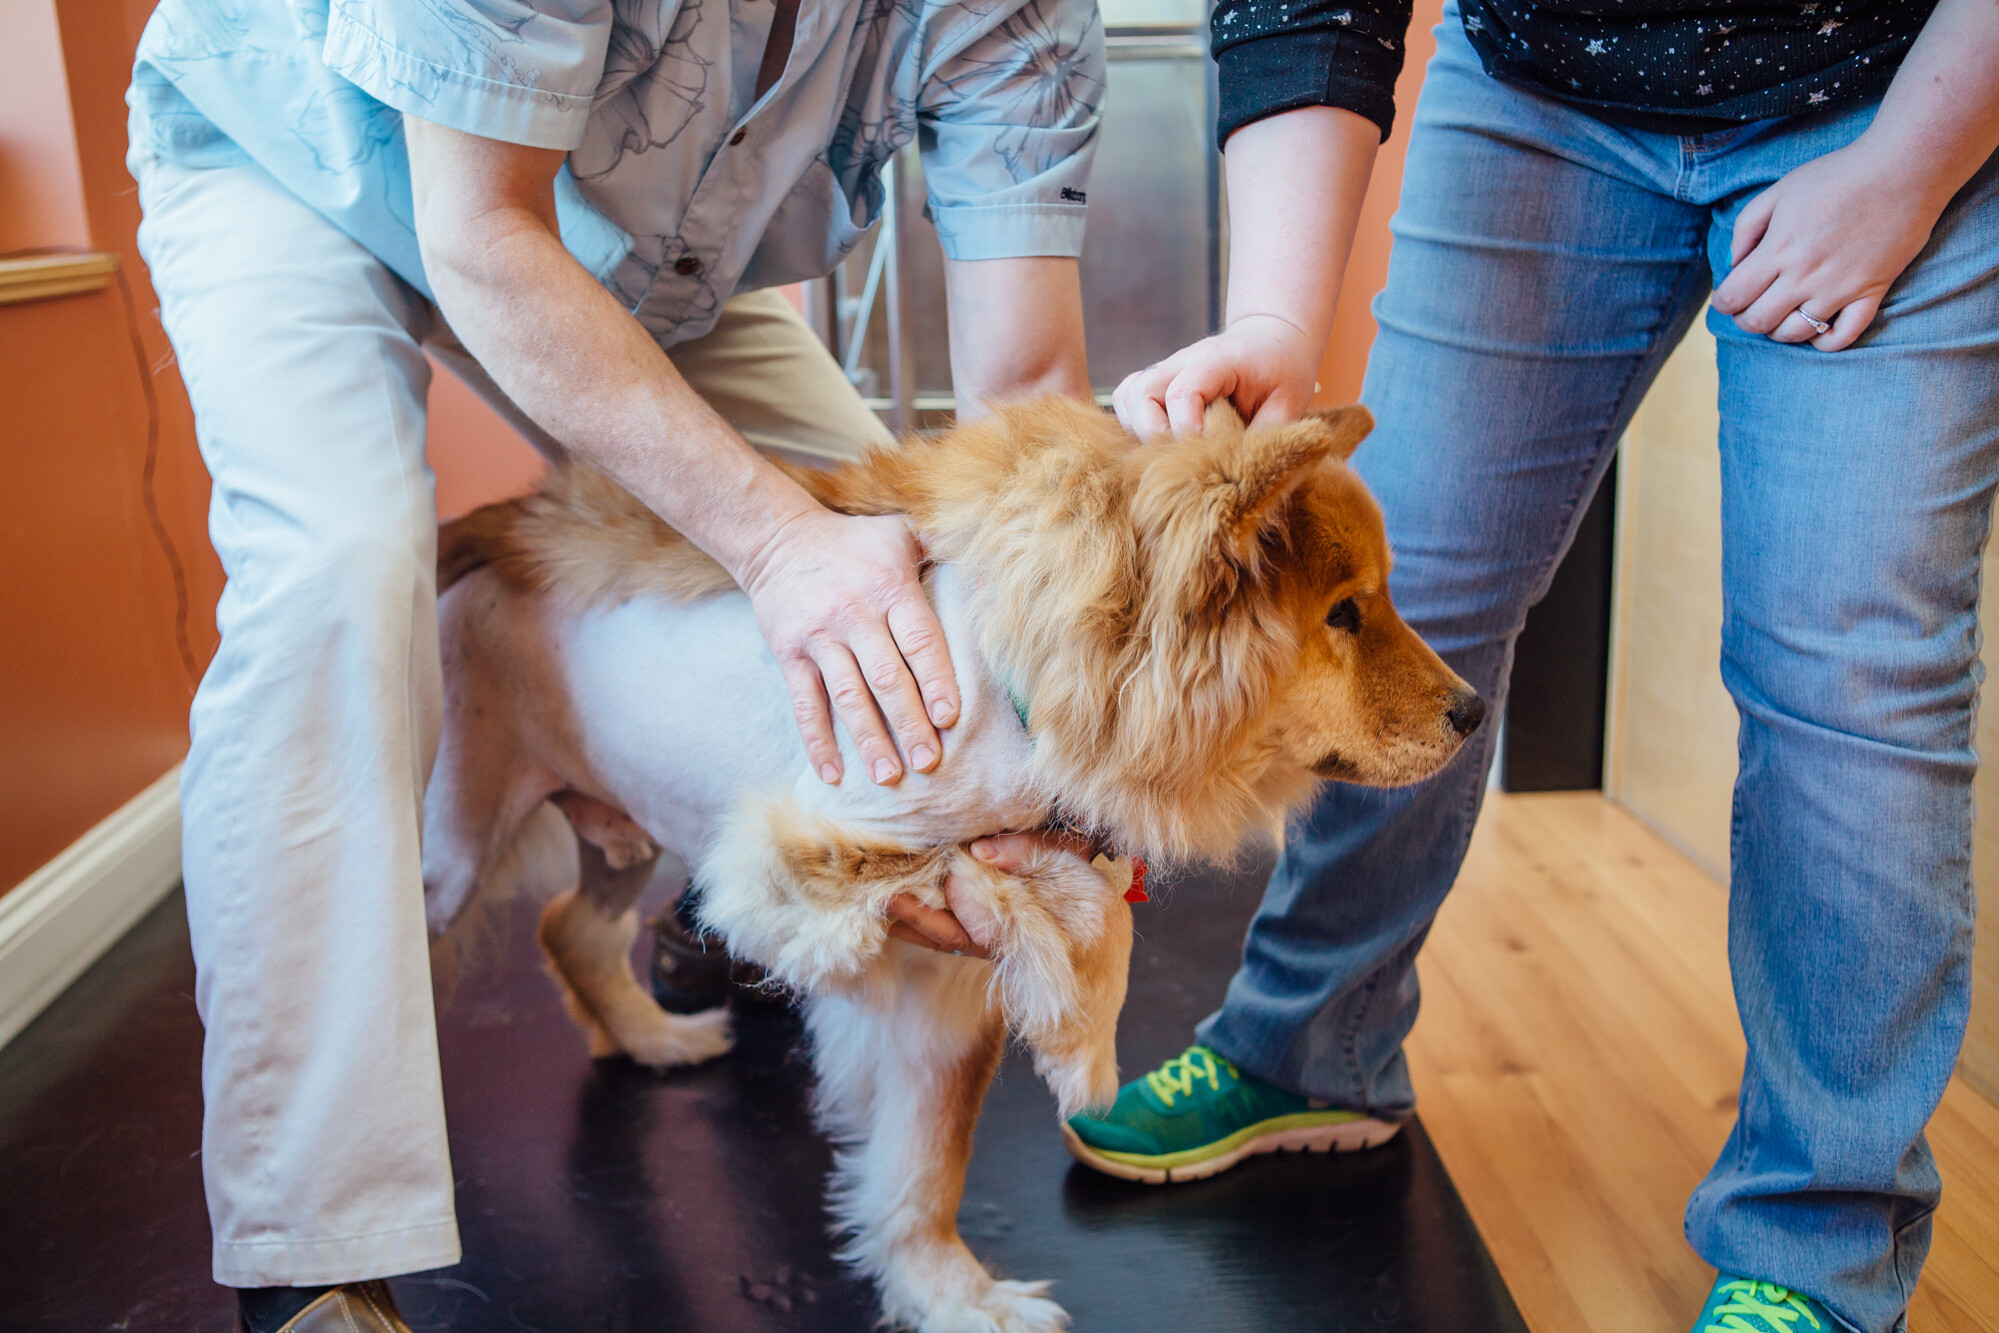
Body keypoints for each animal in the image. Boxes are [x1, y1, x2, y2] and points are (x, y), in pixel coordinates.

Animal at [421, 391, 1487, 1327]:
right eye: (1343, 614)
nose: (1477, 713)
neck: (1016, 679)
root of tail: (486, 541)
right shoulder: (788, 859)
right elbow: (1015, 883)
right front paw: (1076, 1029)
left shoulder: (940, 986)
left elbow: (925, 1165)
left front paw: (947, 1295)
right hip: (454, 861)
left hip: (629, 830)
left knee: (570, 928)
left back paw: (652, 1037)